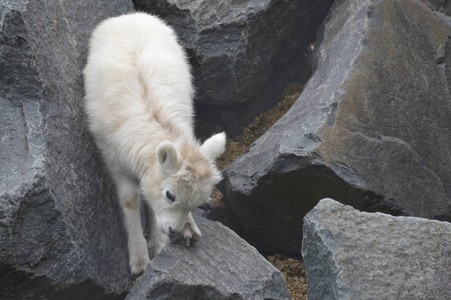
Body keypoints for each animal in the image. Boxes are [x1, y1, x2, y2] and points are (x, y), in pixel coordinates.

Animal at [83, 12, 226, 276]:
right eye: (170, 195)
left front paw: (161, 245)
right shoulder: (112, 159)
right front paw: (139, 260)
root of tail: (130, 15)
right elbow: (130, 200)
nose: (173, 231)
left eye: (197, 203)